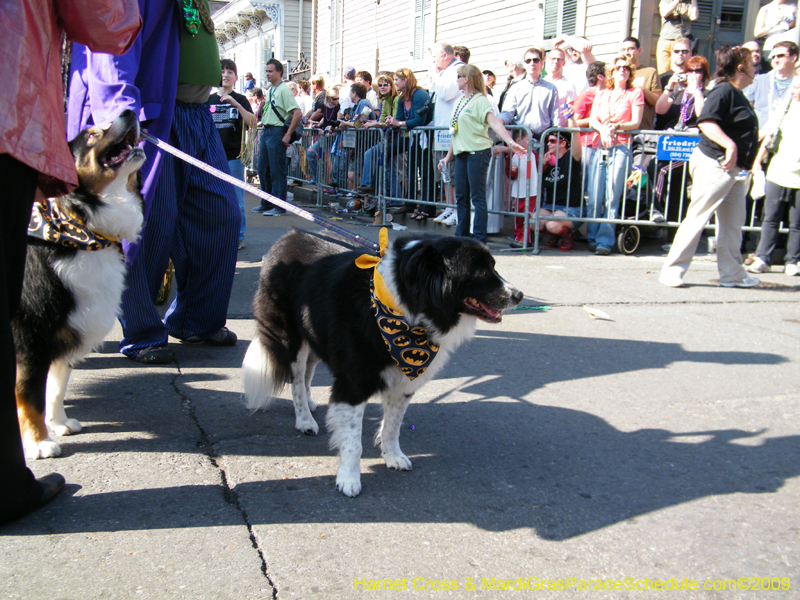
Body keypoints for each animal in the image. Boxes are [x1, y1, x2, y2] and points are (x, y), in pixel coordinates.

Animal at [13, 109, 146, 460]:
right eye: (91, 134)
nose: (129, 111)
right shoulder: (30, 339)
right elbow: (29, 396)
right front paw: (39, 441)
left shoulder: (68, 329)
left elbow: (56, 386)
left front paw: (58, 423)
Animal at [241, 227, 520, 494]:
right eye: (481, 272)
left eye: (493, 266)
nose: (519, 295)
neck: (404, 308)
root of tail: (287, 238)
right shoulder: (353, 383)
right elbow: (353, 442)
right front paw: (348, 479)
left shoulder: (403, 382)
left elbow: (393, 426)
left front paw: (393, 456)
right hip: (290, 335)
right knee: (297, 379)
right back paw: (304, 420)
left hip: (315, 331)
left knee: (308, 370)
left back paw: (310, 404)